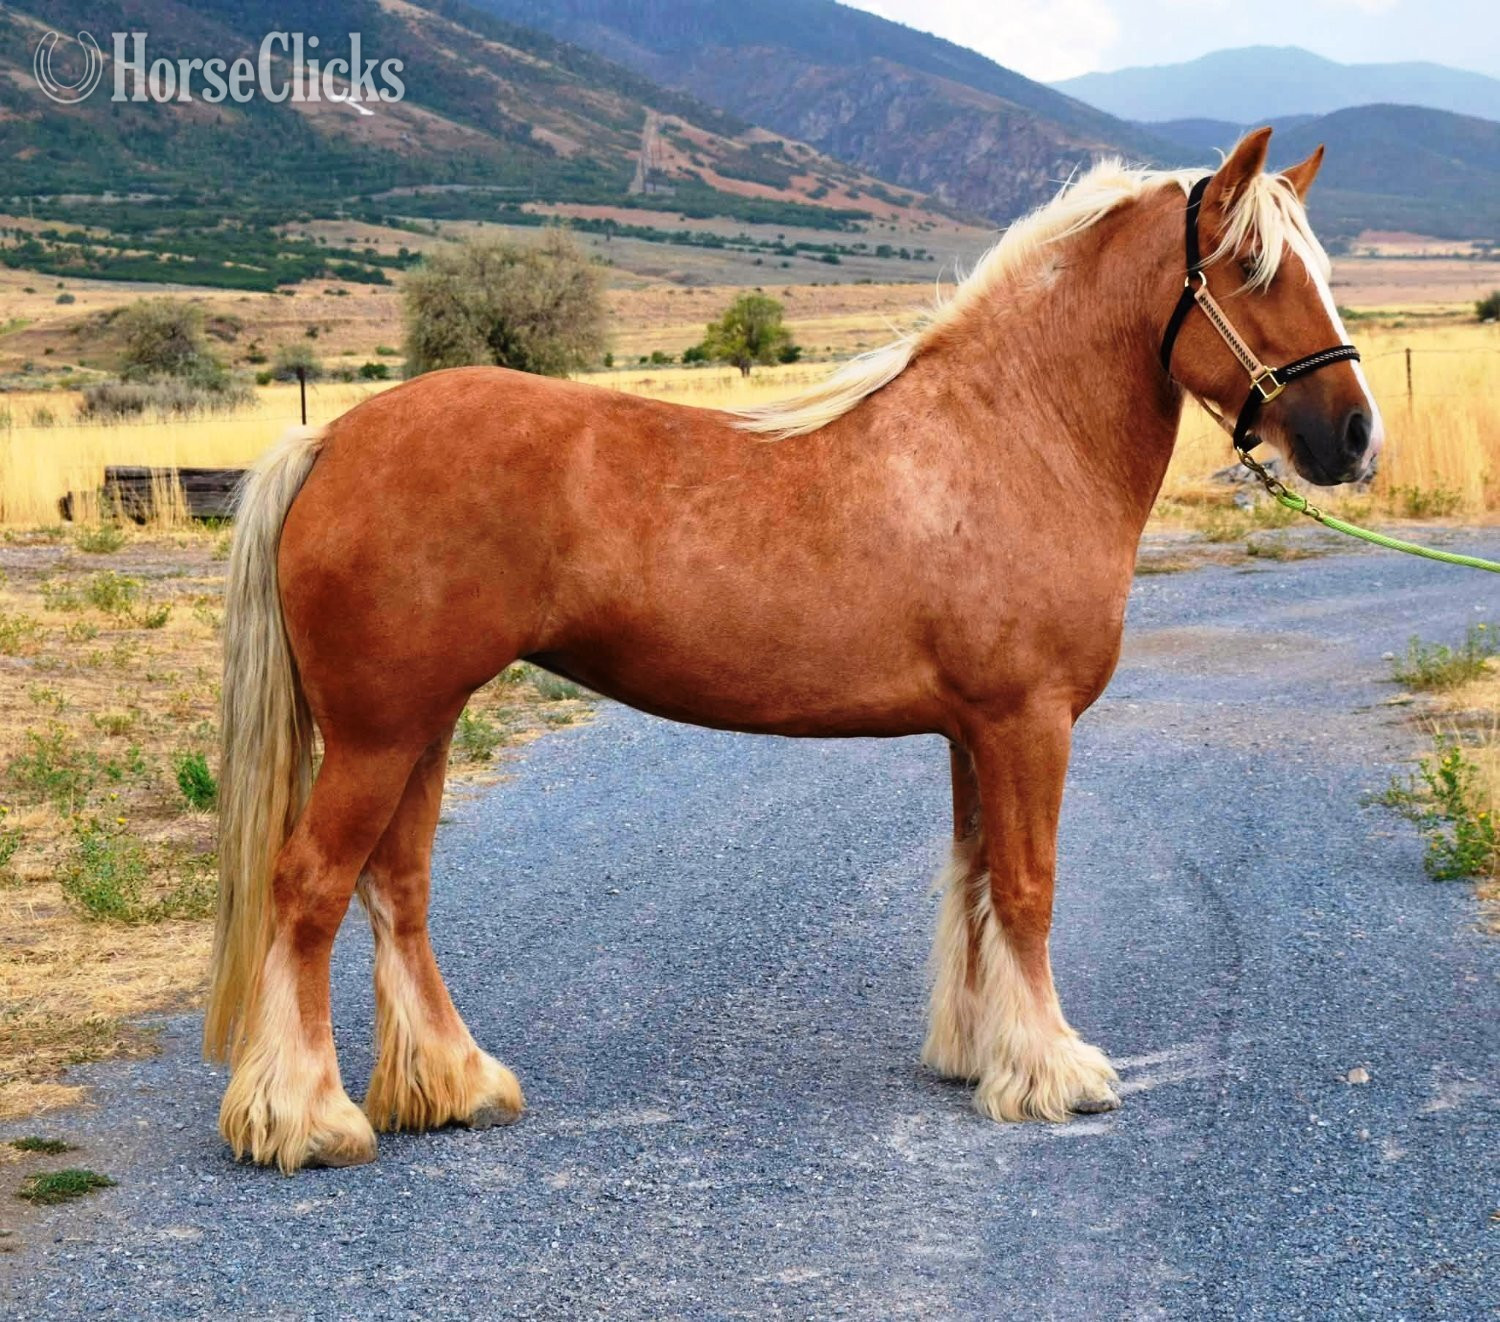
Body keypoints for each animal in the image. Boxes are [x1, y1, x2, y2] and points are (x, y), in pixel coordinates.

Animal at [205, 127, 1382, 1172]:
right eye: (1251, 269)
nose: (1355, 437)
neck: (1014, 432)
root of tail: (334, 437)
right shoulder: (1026, 721)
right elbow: (1028, 885)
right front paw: (1053, 1071)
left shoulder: (972, 730)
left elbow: (975, 881)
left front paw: (978, 1053)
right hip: (379, 733)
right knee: (309, 886)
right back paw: (307, 1120)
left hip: (424, 723)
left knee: (396, 886)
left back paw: (454, 1083)